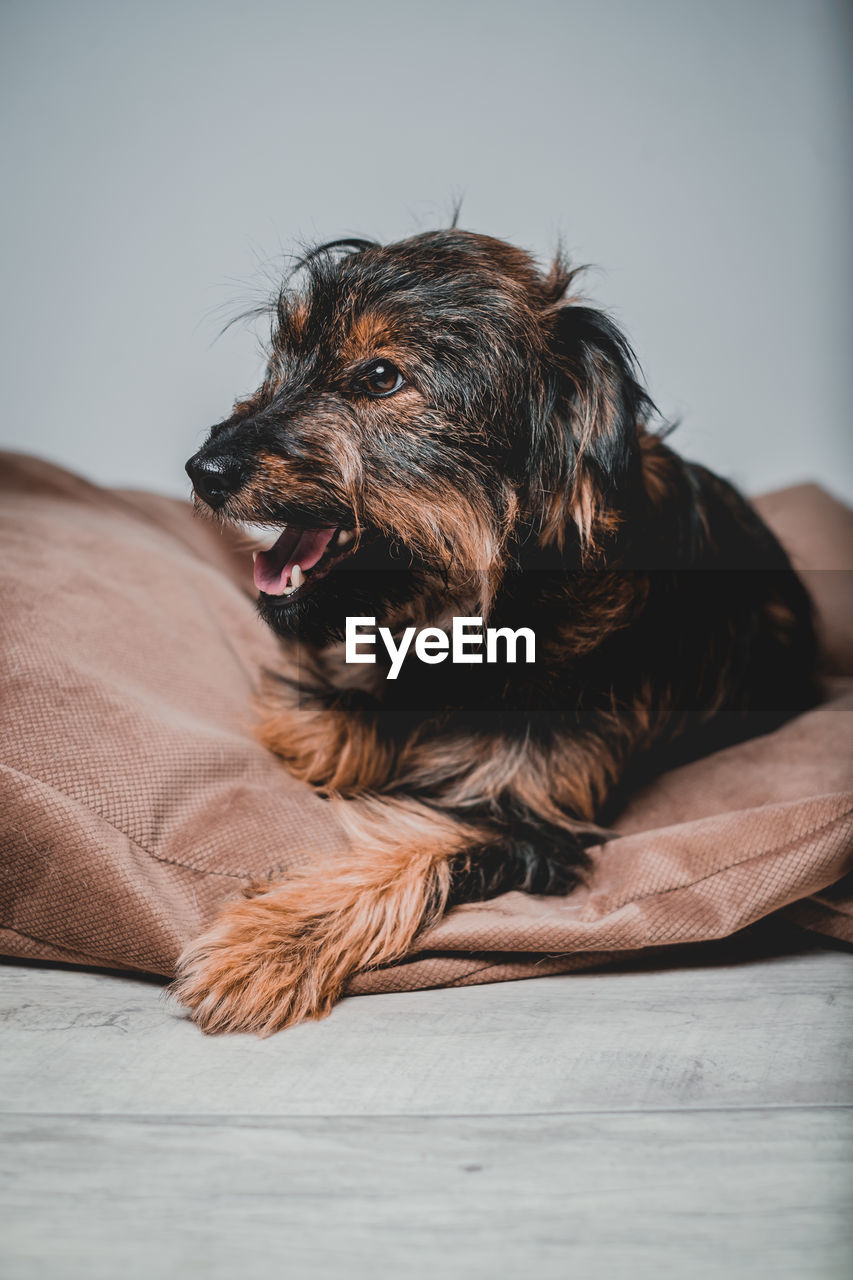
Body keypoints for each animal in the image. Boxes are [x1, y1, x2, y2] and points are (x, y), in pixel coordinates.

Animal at [171, 227, 809, 1029]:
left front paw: (267, 945)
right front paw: (322, 728)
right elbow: (337, 726)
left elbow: (420, 841)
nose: (204, 469)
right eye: (282, 356)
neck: (486, 606)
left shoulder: (537, 816)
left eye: (380, 376)